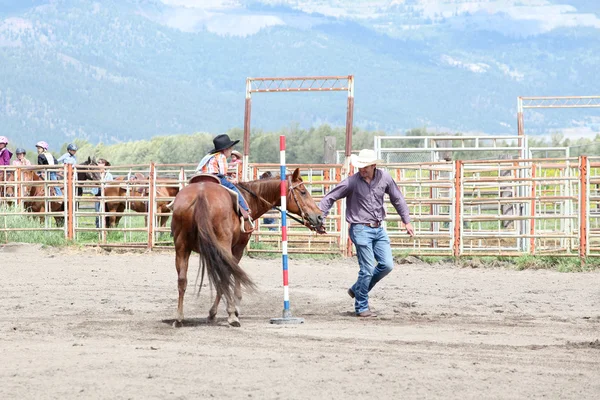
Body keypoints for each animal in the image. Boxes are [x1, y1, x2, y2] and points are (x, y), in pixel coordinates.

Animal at [171, 167, 326, 326]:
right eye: (303, 192)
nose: (320, 216)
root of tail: (201, 194)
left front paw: (216, 312)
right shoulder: (238, 248)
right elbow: (233, 274)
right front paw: (230, 310)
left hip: (181, 246)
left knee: (182, 280)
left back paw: (179, 318)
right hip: (220, 246)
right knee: (224, 277)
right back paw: (231, 316)